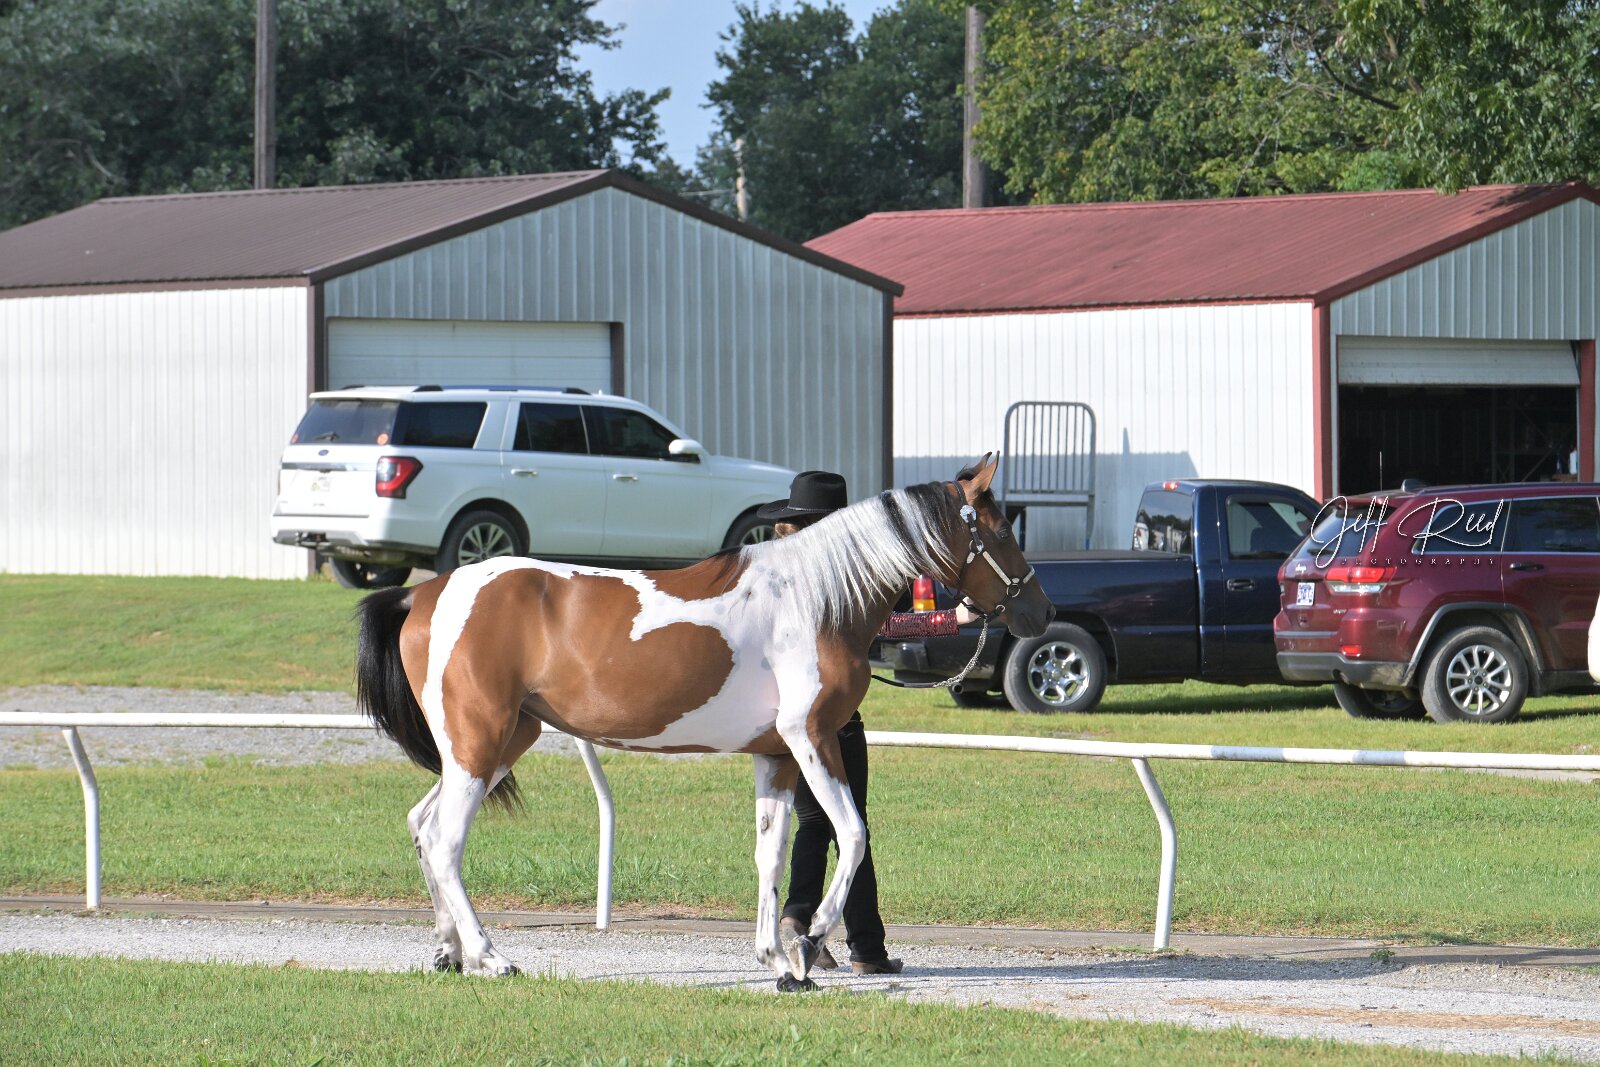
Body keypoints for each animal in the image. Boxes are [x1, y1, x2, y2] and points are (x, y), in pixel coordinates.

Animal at [353, 453, 1054, 983]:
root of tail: (424, 592)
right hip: (479, 740)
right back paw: (492, 957)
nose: (1041, 614)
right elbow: (852, 834)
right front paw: (809, 944)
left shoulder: (776, 754)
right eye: (1002, 532)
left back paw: (450, 951)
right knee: (446, 840)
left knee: (422, 825)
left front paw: (777, 960)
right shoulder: (813, 739)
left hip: (498, 742)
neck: (815, 598)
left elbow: (771, 853)